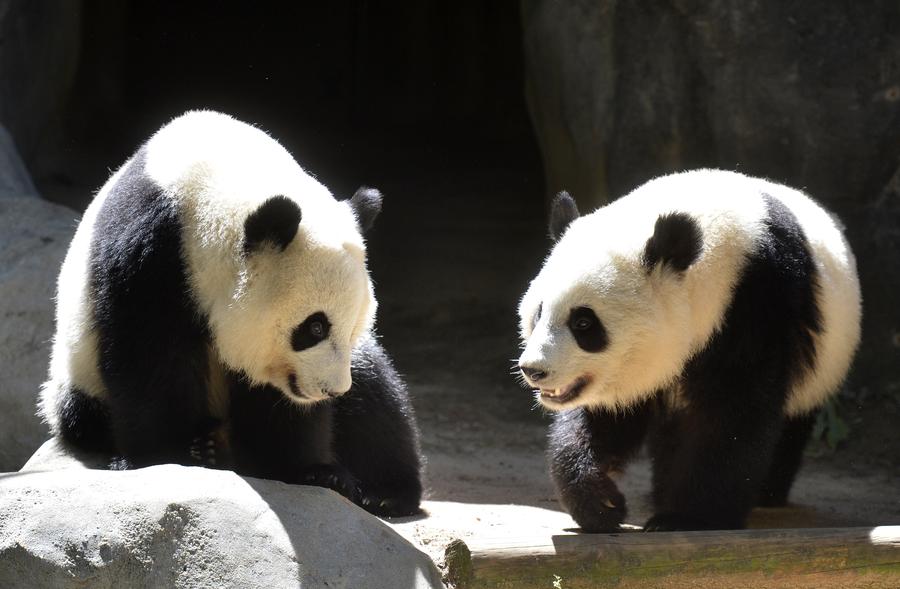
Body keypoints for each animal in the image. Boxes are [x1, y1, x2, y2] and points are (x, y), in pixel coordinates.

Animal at [38, 110, 422, 517]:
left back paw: (384, 492)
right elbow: (148, 356)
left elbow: (281, 404)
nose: (331, 390)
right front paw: (167, 456)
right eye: (315, 327)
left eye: (353, 328)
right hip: (77, 382)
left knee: (374, 391)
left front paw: (312, 472)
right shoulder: (147, 254)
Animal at [518, 169, 861, 531]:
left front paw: (688, 517)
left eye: (583, 323)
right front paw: (600, 500)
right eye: (539, 312)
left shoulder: (758, 306)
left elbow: (732, 415)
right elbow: (605, 417)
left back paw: (765, 492)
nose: (534, 369)